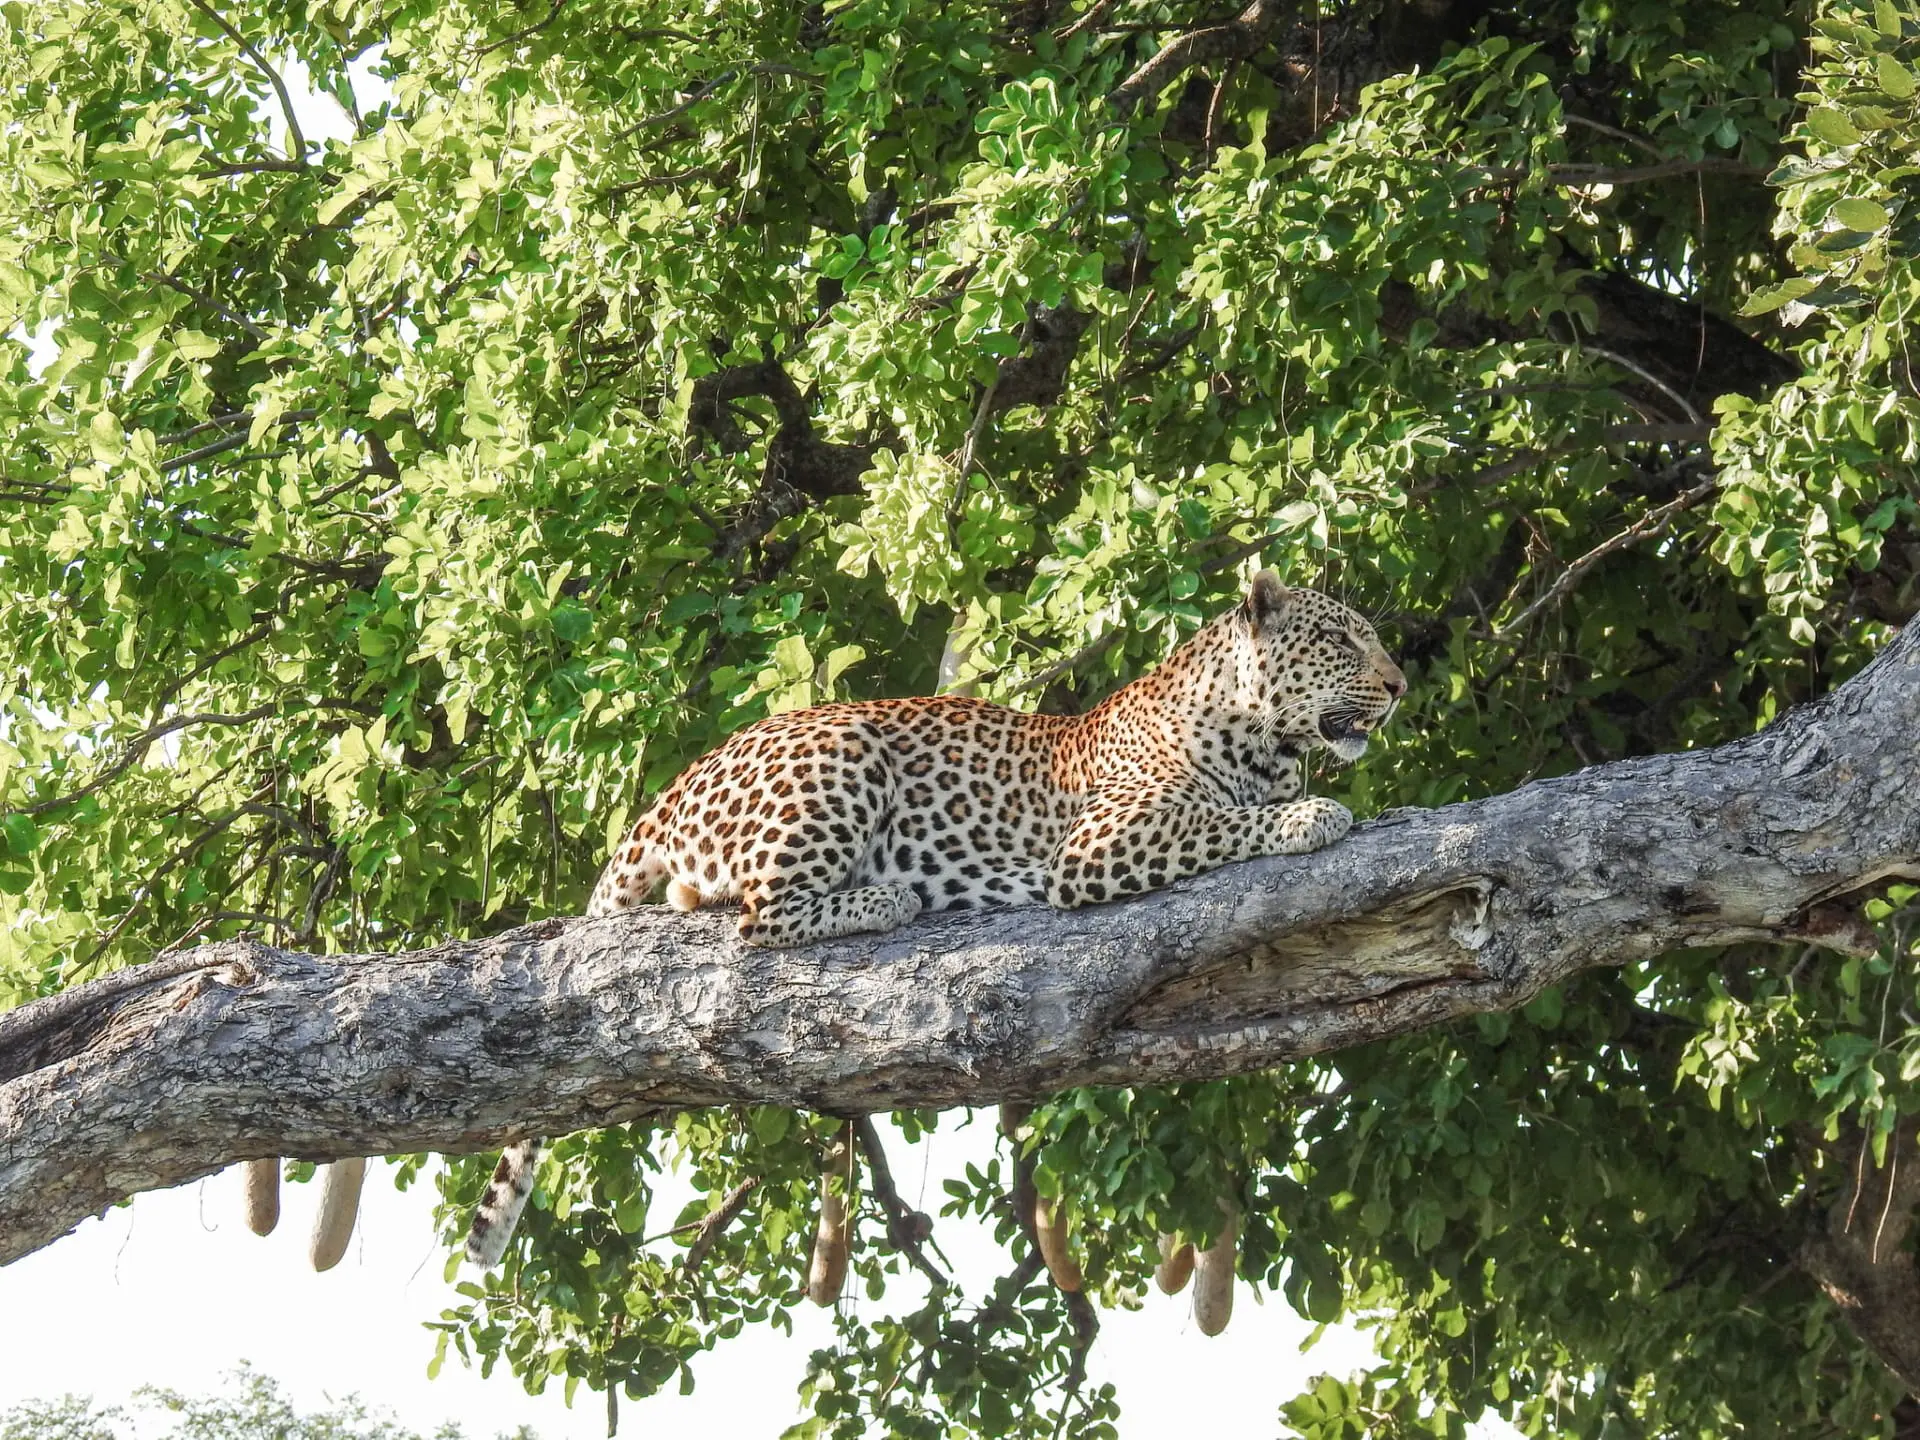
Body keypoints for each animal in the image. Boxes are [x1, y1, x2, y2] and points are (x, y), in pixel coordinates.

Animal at [461, 571, 1406, 1268]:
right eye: (1340, 639)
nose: (1399, 687)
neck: (1263, 743)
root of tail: (675, 787)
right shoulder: (1102, 843)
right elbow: (1224, 823)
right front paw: (1312, 817)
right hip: (841, 755)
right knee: (761, 918)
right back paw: (891, 896)